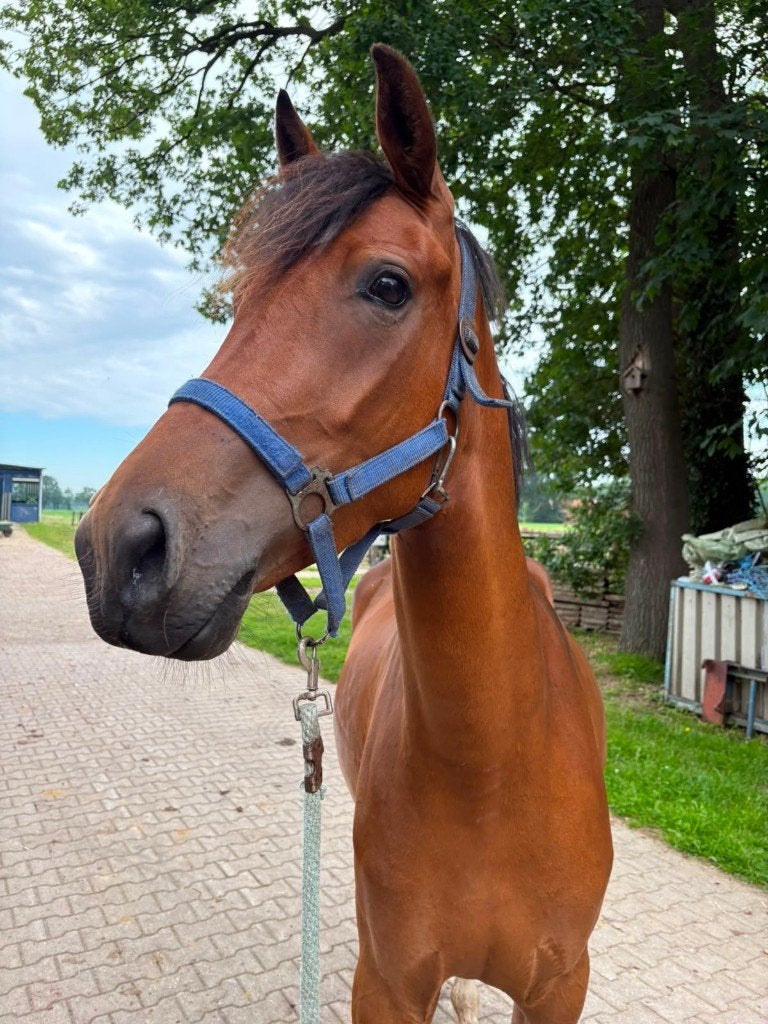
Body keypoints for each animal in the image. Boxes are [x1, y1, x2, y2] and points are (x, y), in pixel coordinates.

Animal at [75, 44, 612, 1024]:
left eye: (387, 284)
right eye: (241, 300)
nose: (118, 548)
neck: (493, 771)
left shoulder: (562, 984)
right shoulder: (384, 979)